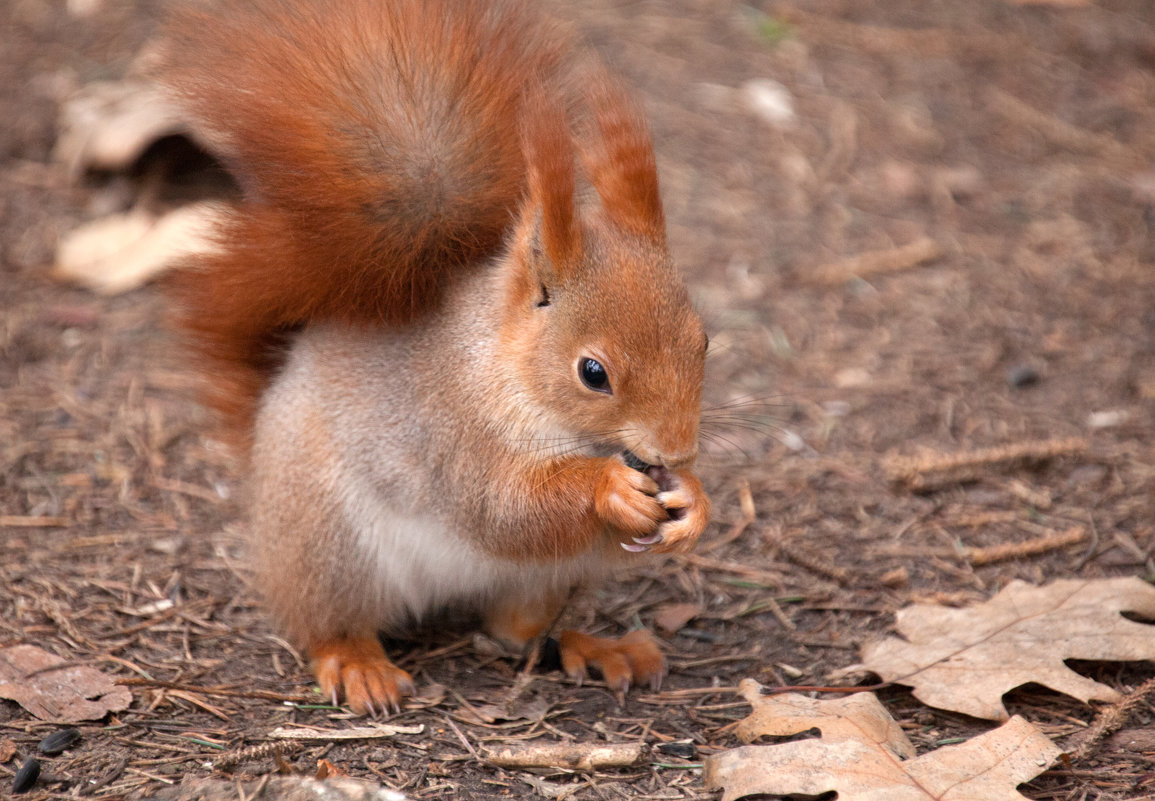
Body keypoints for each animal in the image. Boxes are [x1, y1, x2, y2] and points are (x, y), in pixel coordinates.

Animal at [159, 0, 706, 715]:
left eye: (704, 341)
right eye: (593, 374)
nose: (677, 450)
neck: (503, 368)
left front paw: (695, 503)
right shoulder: (453, 430)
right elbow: (503, 508)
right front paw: (608, 487)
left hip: (549, 580)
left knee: (518, 634)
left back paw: (598, 646)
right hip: (329, 541)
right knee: (328, 621)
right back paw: (357, 662)